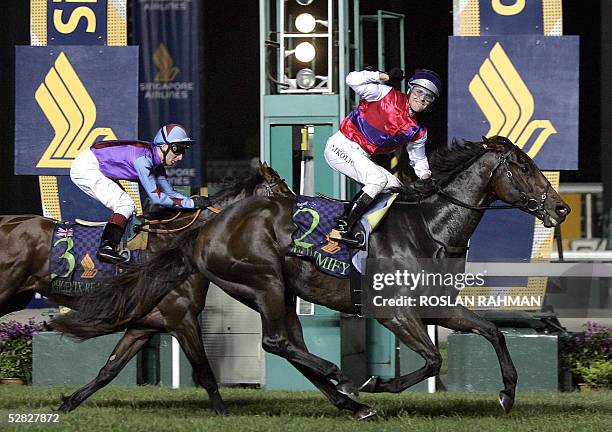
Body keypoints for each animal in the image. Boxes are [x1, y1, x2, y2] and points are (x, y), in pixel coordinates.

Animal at [0, 161, 294, 412]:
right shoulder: (182, 319)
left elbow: (108, 370)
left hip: (17, 296)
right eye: (282, 190)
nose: (295, 220)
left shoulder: (144, 325)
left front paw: (67, 404)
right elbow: (205, 372)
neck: (174, 246)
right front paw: (223, 412)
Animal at [51, 136, 568, 418]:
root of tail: (206, 228)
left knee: (290, 345)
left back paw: (349, 402)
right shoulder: (393, 312)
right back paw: (344, 382)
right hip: (264, 282)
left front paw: (506, 394)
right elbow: (433, 361)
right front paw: (374, 384)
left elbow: (493, 332)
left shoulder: (437, 307)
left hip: (279, 292)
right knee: (276, 342)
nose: (561, 208)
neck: (429, 229)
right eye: (523, 166)